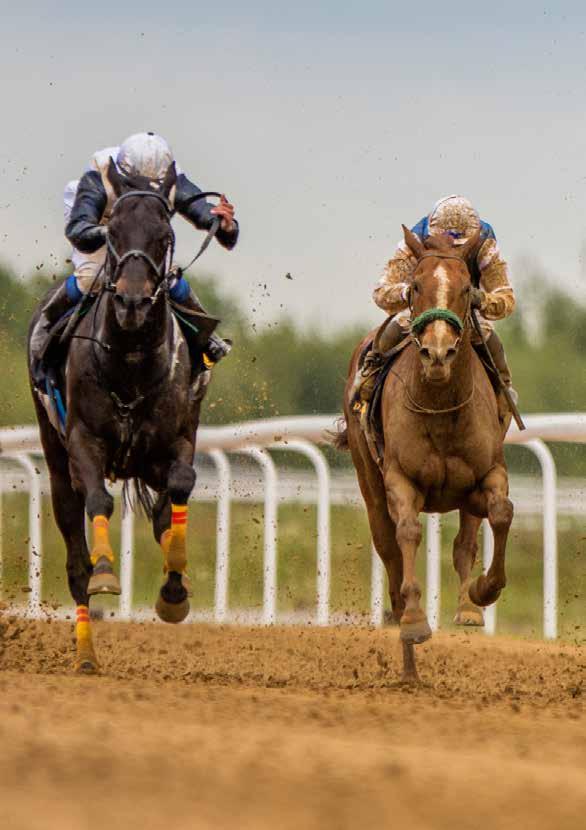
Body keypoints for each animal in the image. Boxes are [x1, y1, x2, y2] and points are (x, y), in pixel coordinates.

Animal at [28, 162, 210, 676]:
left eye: (165, 235)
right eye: (112, 234)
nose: (131, 302)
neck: (129, 362)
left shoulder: (175, 442)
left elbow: (180, 489)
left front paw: (174, 588)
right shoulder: (83, 443)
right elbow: (98, 503)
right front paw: (108, 571)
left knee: (165, 509)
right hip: (56, 461)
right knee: (75, 564)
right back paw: (86, 655)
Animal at [338, 226, 512, 684]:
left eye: (468, 288)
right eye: (415, 286)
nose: (437, 353)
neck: (439, 402)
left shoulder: (489, 472)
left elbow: (499, 513)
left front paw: (483, 591)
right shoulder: (400, 479)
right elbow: (408, 534)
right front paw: (415, 621)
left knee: (467, 539)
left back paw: (468, 609)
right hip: (369, 482)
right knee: (390, 552)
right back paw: (409, 661)